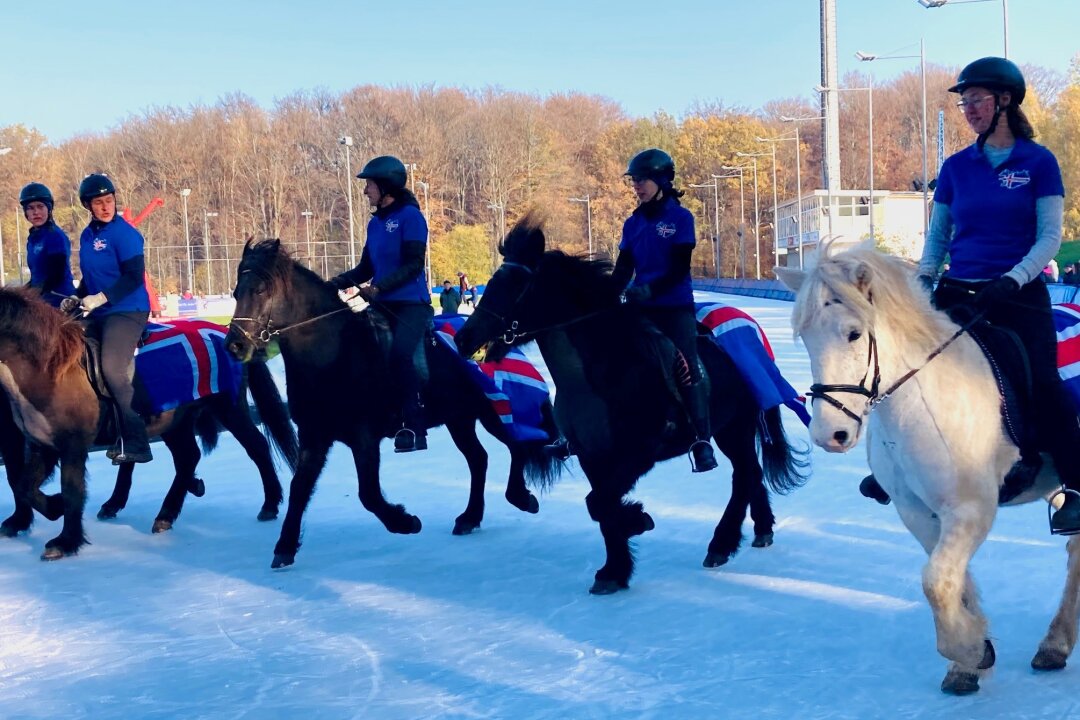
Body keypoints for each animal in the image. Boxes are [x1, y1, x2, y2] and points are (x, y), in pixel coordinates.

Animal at [0, 289, 298, 561]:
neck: (51, 369)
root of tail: (222, 332)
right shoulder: (44, 444)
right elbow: (24, 485)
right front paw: (52, 507)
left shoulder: (72, 446)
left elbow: (71, 491)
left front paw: (65, 540)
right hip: (175, 421)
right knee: (188, 458)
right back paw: (166, 514)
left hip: (229, 408)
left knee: (257, 446)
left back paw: (270, 504)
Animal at [225, 239, 565, 569]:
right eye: (236, 292)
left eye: (260, 290)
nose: (235, 345)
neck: (334, 354)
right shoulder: (314, 436)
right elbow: (300, 488)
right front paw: (284, 547)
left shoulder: (363, 437)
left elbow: (369, 494)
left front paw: (404, 521)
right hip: (459, 419)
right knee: (479, 458)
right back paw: (470, 517)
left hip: (494, 411)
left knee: (517, 445)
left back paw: (520, 497)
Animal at [455, 215, 812, 595]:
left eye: (516, 283)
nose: (464, 338)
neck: (601, 372)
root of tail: (750, 328)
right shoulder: (592, 456)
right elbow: (601, 507)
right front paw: (615, 568)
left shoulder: (637, 454)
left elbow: (599, 503)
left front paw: (637, 522)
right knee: (751, 473)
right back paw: (760, 529)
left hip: (736, 426)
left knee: (744, 475)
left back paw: (721, 543)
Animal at [777, 245, 1080, 695]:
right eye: (807, 337)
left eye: (853, 333)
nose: (830, 433)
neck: (925, 397)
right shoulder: (919, 512)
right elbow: (953, 583)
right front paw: (970, 659)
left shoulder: (972, 510)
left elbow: (935, 581)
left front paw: (970, 651)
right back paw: (1055, 645)